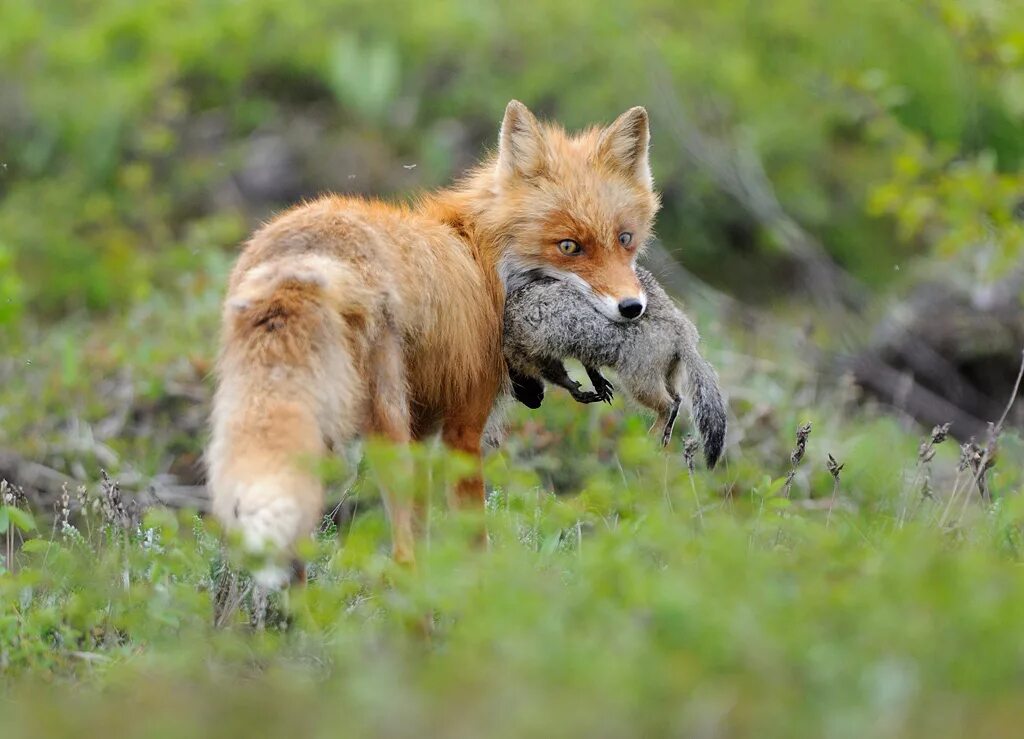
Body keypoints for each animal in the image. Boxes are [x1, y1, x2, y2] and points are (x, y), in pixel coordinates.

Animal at [203, 100, 659, 577]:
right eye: (568, 246)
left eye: (625, 239)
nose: (632, 307)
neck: (480, 257)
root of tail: (305, 255)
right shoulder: (462, 426)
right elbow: (472, 540)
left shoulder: (424, 427)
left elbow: (425, 526)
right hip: (383, 424)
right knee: (401, 552)